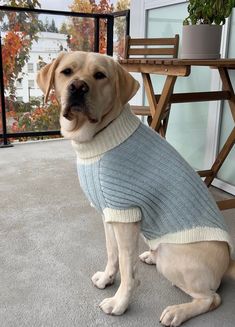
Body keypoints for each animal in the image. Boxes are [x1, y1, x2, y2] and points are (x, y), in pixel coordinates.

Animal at [37, 51, 235, 326]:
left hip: (172, 258)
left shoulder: (126, 217)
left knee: (211, 298)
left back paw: (177, 311)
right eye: (66, 72)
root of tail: (229, 260)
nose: (78, 87)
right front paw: (107, 278)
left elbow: (127, 268)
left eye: (100, 75)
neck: (100, 135)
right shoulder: (110, 214)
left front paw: (120, 303)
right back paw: (150, 256)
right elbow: (112, 254)